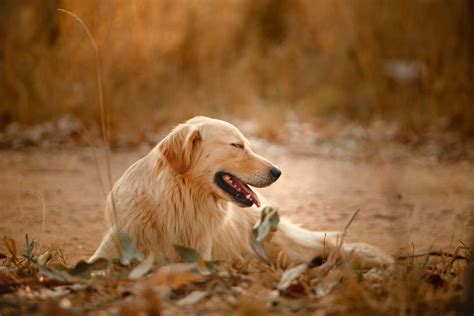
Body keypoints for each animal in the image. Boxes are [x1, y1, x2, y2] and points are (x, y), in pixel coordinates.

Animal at [90, 116, 392, 266]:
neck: (178, 201)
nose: (278, 172)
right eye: (237, 146)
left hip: (281, 247)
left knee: (328, 243)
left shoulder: (197, 259)